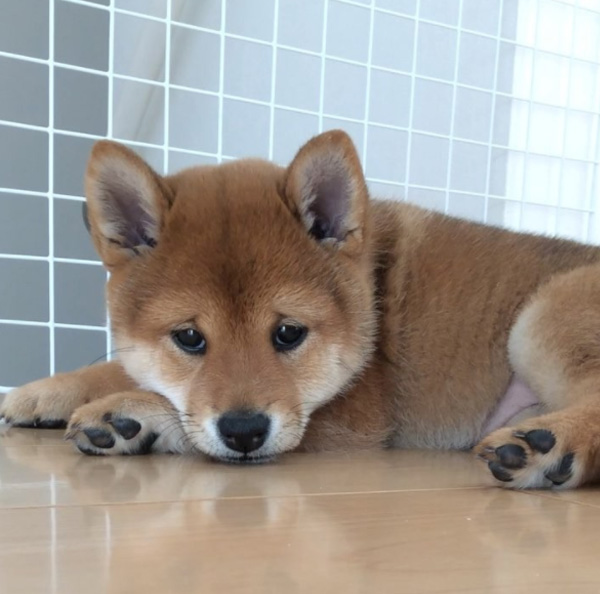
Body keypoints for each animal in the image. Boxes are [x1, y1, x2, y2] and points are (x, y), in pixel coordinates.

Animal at [3, 130, 600, 486]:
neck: (369, 296)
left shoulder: (356, 420)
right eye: (190, 338)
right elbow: (117, 366)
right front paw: (42, 393)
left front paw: (134, 414)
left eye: (288, 333)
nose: (244, 431)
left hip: (541, 322)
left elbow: (173, 410)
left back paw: (553, 446)